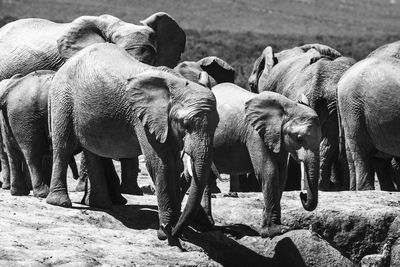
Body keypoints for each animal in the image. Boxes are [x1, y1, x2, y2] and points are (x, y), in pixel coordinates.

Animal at [48, 43, 219, 246]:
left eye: (217, 125)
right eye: (186, 124)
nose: (170, 234)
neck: (175, 84)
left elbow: (174, 164)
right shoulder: (144, 118)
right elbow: (162, 164)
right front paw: (166, 232)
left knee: (93, 152)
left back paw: (101, 205)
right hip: (63, 96)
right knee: (63, 145)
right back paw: (60, 202)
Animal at [183, 84, 320, 239]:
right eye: (299, 138)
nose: (302, 195)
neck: (287, 106)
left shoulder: (278, 139)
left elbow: (281, 175)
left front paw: (271, 230)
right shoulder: (255, 134)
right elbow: (269, 172)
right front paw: (276, 231)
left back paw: (208, 223)